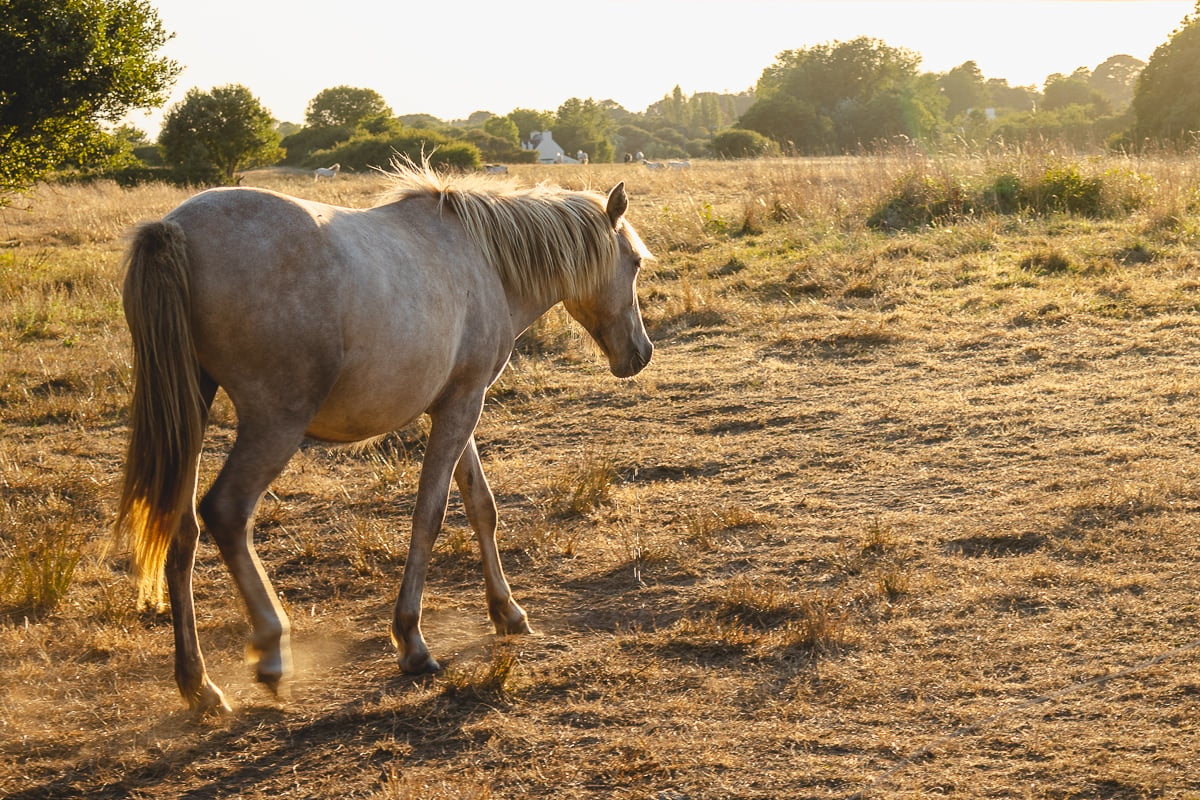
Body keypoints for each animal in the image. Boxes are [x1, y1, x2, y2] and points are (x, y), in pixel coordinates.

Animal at [115, 161, 654, 715]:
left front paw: (507, 611)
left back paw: (198, 685)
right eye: (634, 262)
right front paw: (411, 641)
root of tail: (174, 229)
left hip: (191, 415)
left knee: (180, 528)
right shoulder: (463, 406)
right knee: (225, 512)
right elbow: (430, 515)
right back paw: (270, 647)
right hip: (274, 423)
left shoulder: (456, 403)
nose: (640, 353)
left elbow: (480, 505)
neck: (486, 261)